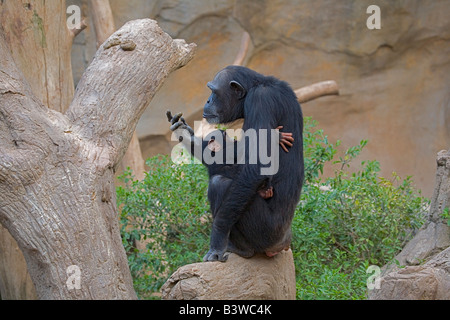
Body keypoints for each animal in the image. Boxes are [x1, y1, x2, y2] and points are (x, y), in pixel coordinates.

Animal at [167, 65, 304, 262]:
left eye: (213, 91)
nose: (207, 100)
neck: (256, 86)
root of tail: (283, 244)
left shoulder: (261, 100)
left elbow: (255, 167)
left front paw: (217, 238)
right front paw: (183, 131)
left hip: (265, 232)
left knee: (220, 184)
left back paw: (240, 248)